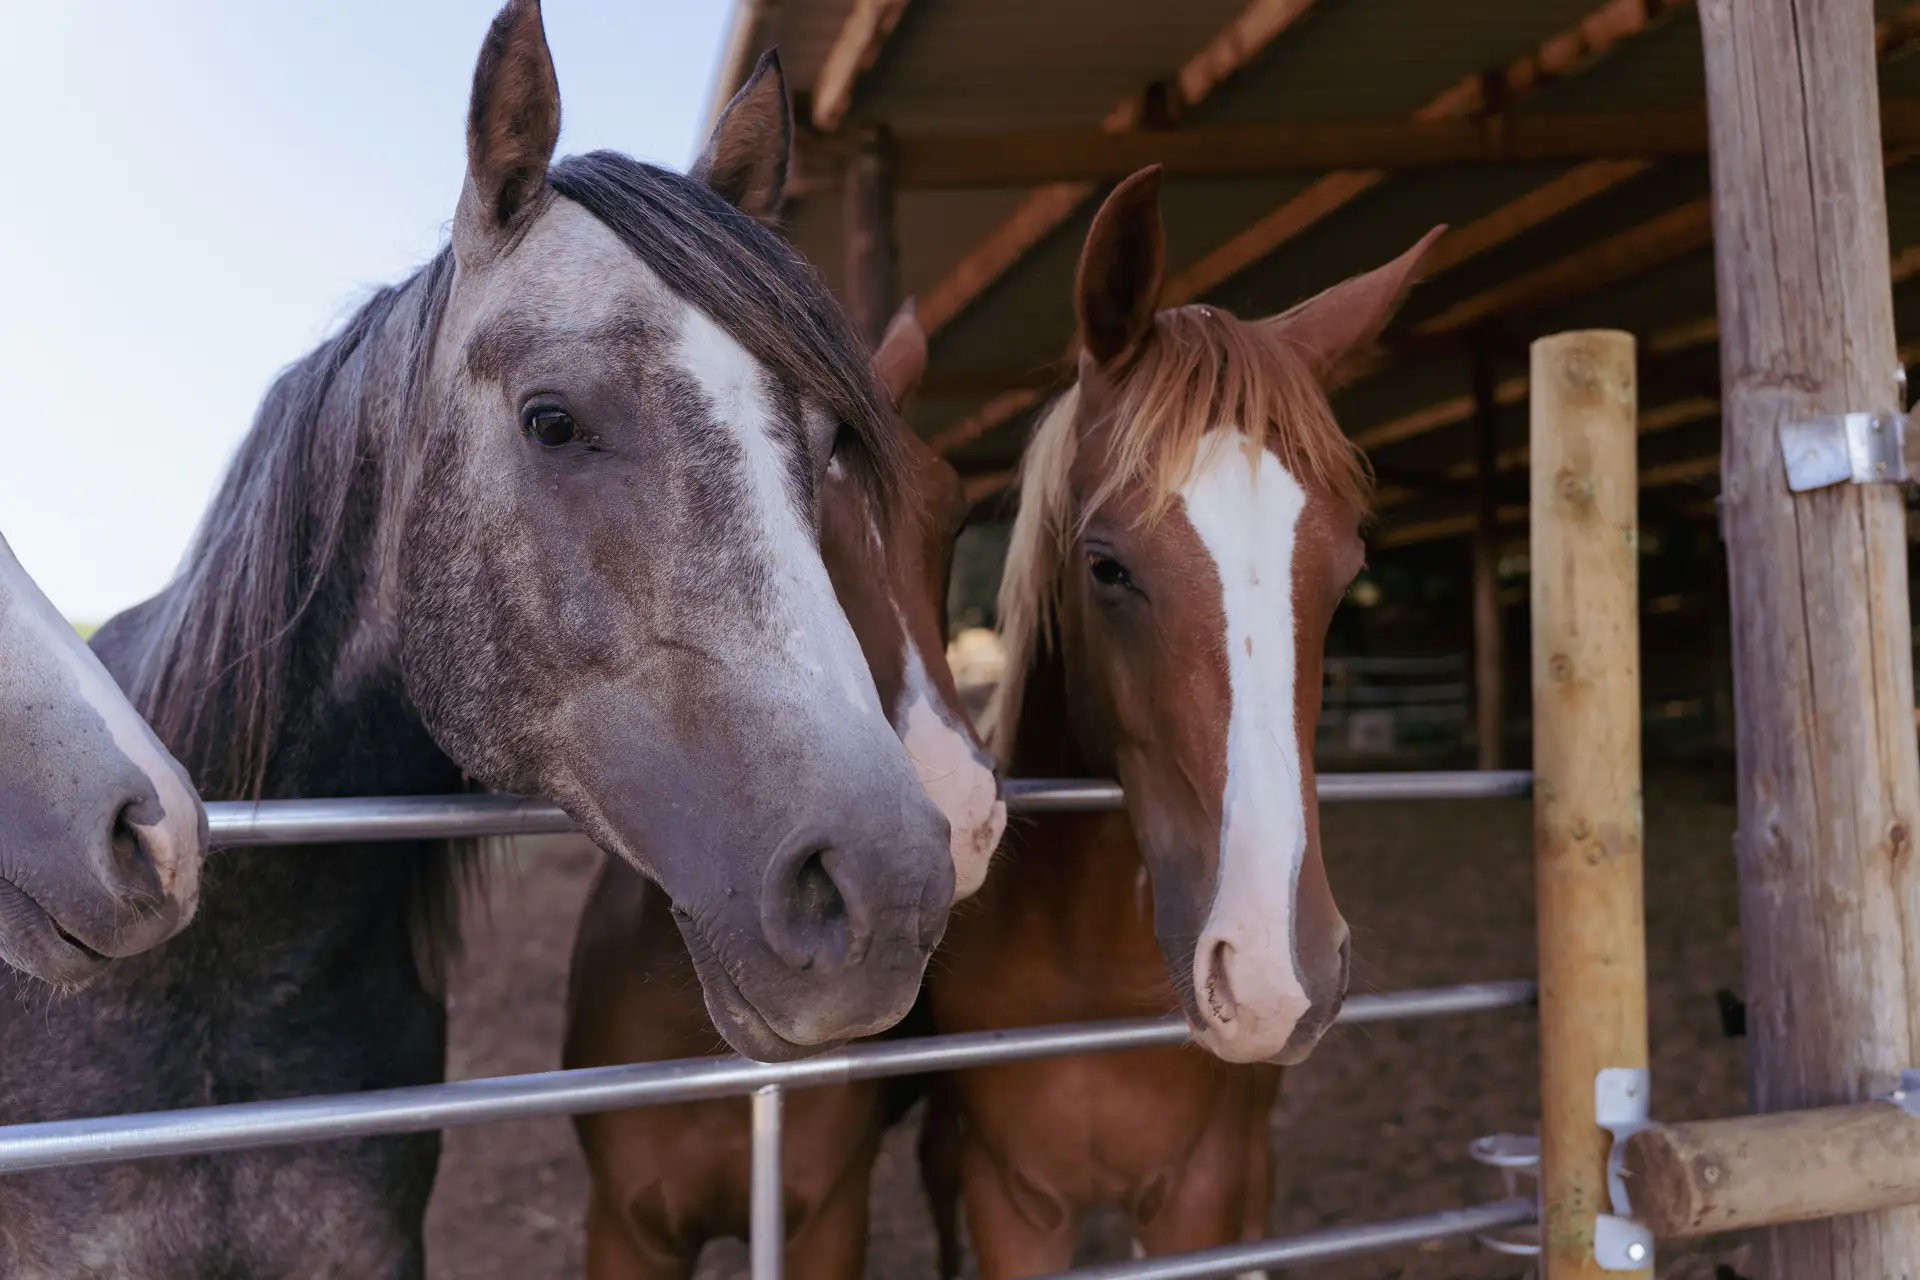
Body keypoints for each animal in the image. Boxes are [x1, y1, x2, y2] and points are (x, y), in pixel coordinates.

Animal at [920, 167, 1443, 1277]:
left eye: (1345, 574)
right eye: (1107, 566)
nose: (1273, 975)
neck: (1089, 965)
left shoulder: (1198, 1194)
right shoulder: (1011, 1202)